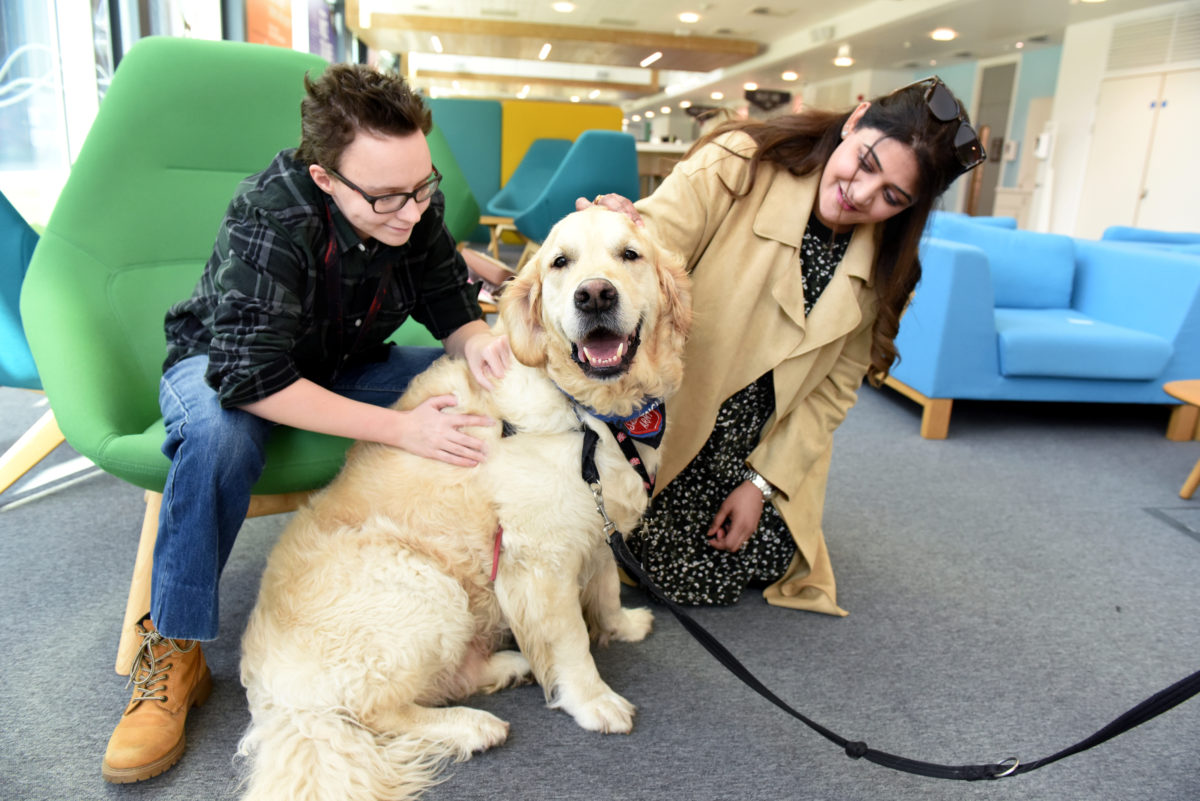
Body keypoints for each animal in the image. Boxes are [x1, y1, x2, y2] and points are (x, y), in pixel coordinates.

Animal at [236, 208, 686, 801]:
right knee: (373, 712)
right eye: (560, 262)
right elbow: (569, 640)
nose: (594, 295)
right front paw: (594, 701)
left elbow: (608, 584)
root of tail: (277, 699)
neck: (588, 412)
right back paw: (473, 725)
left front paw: (621, 624)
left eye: (629, 255)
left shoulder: (594, 522)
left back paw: (506, 666)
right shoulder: (538, 560)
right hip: (426, 586)